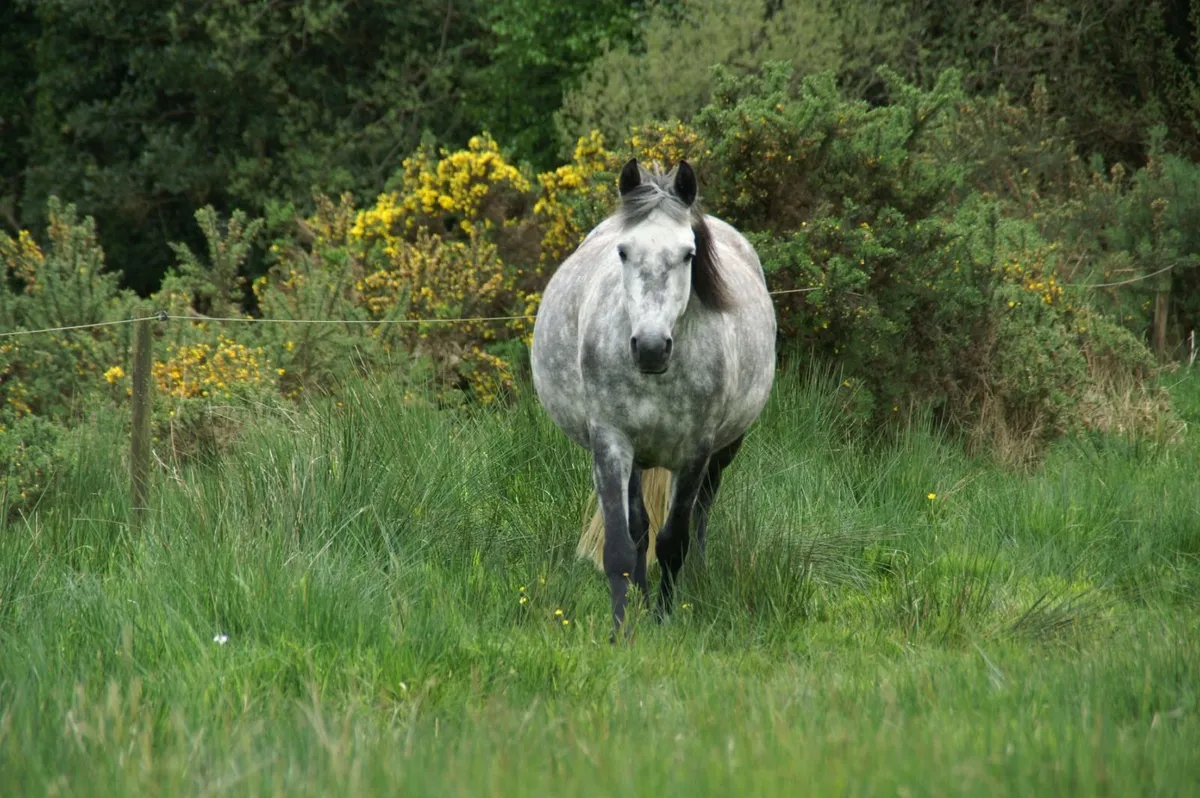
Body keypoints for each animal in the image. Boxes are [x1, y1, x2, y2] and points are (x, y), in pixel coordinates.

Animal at [531, 158, 776, 634]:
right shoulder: (610, 443)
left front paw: (663, 620)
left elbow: (673, 541)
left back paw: (697, 574)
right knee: (641, 528)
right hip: (637, 457)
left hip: (724, 450)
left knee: (701, 514)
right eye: (623, 252)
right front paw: (622, 629)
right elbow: (623, 547)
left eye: (688, 254)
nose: (649, 347)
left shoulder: (696, 450)